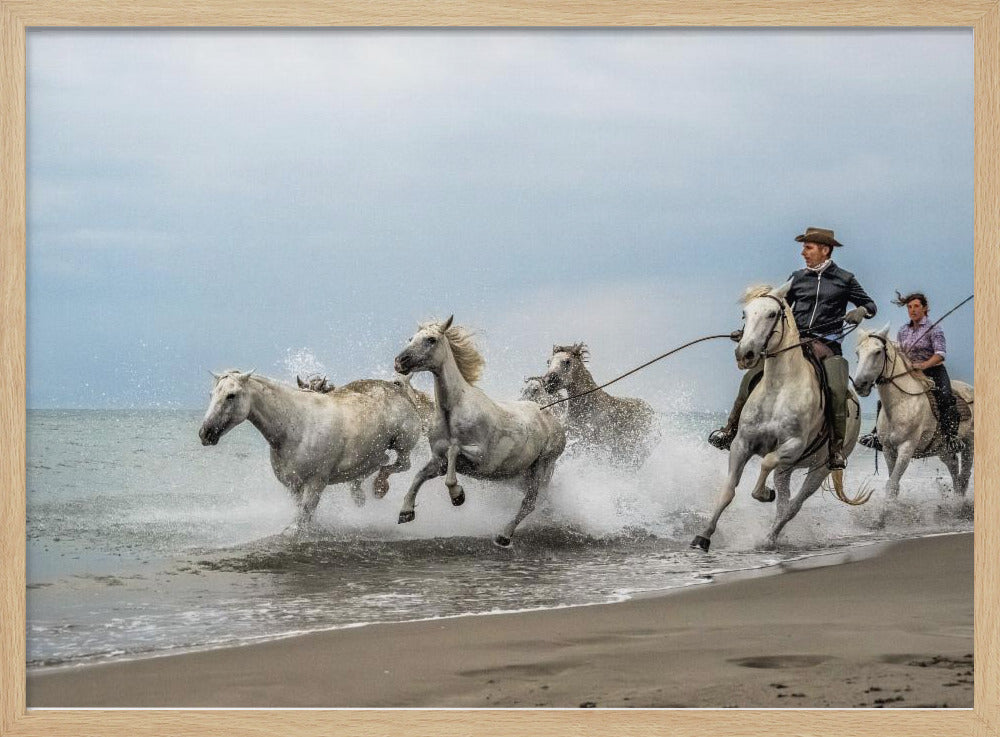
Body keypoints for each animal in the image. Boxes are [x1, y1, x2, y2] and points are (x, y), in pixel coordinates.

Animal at [199, 370, 423, 532]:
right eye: (211, 395)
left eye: (231, 395)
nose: (205, 434)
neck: (296, 425)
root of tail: (398, 389)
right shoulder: (293, 485)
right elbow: (302, 512)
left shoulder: (316, 482)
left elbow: (304, 516)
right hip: (372, 452)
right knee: (376, 465)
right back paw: (361, 494)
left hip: (403, 444)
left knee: (401, 464)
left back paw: (380, 488)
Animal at [393, 317, 566, 547]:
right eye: (411, 338)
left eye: (431, 339)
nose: (400, 362)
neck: (452, 412)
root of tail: (552, 418)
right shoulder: (437, 460)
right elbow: (419, 476)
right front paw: (406, 512)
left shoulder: (481, 458)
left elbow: (454, 452)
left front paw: (457, 495)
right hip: (521, 476)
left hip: (543, 465)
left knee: (530, 503)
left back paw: (504, 536)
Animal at [852, 325, 974, 500]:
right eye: (858, 352)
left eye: (877, 352)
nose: (859, 385)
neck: (902, 402)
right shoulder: (888, 449)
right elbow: (893, 485)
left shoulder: (906, 448)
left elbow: (892, 484)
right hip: (942, 449)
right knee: (954, 469)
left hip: (969, 444)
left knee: (964, 474)